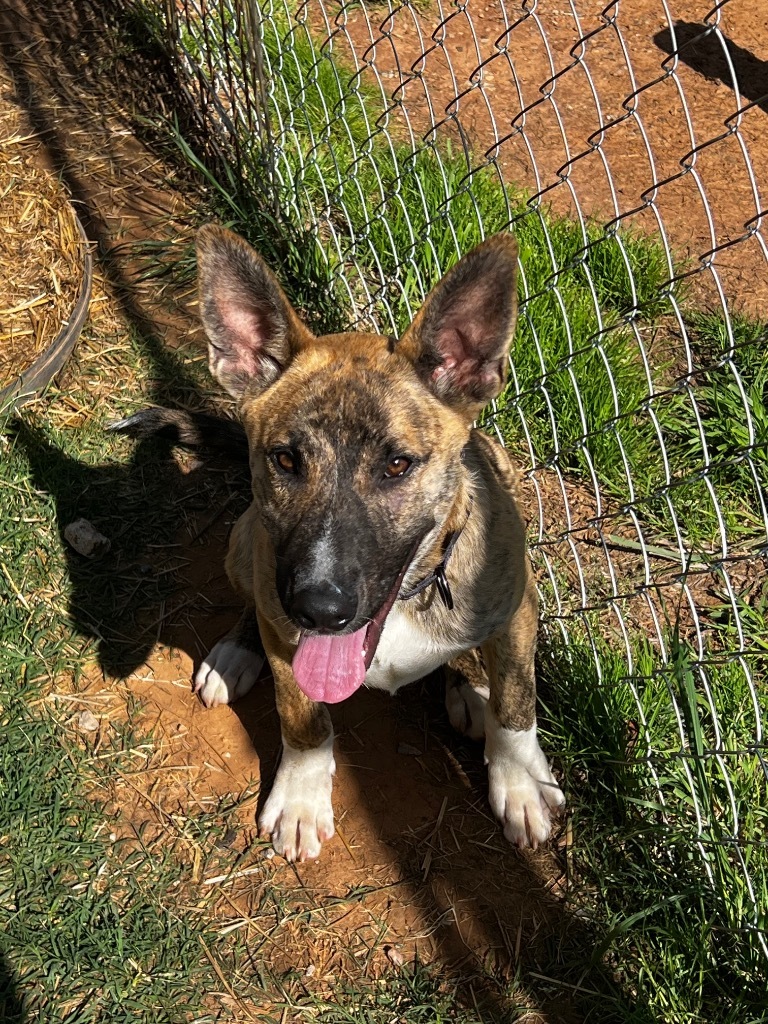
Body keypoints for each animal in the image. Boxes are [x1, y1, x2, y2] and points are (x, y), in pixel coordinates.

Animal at [117, 226, 569, 864]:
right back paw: (236, 652)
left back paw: (469, 685)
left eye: (398, 465)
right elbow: (301, 715)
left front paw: (521, 782)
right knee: (255, 607)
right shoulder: (285, 624)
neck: (405, 602)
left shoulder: (519, 605)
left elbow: (517, 702)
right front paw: (302, 799)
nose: (319, 609)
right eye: (285, 459)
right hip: (245, 542)